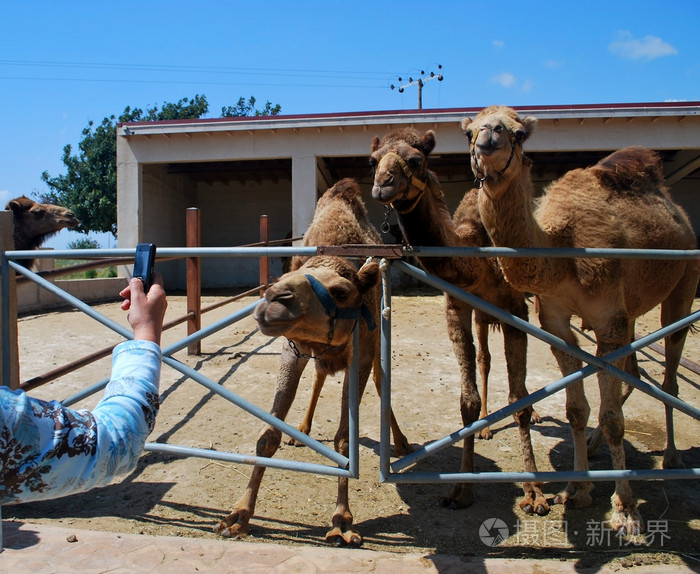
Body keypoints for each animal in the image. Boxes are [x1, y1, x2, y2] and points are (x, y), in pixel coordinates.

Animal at [213, 178, 410, 548]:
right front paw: (238, 516)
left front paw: (342, 522)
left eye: (341, 292)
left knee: (381, 381)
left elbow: (345, 441)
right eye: (284, 280)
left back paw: (402, 443)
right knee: (319, 373)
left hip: (377, 343)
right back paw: (301, 430)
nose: (273, 301)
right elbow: (268, 436)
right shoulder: (292, 349)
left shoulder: (361, 354)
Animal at [370, 129, 548, 516]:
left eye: (416, 159)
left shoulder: (515, 310)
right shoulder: (458, 307)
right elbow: (467, 401)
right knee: (485, 358)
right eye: (373, 160)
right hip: (483, 315)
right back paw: (486, 428)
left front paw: (535, 493)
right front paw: (461, 491)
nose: (382, 185)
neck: (475, 257)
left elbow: (519, 399)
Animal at [462, 106, 696, 536]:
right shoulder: (554, 319)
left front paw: (626, 511)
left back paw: (671, 457)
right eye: (470, 131)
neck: (561, 250)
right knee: (633, 371)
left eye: (519, 133)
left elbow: (613, 416)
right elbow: (577, 410)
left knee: (669, 372)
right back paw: (593, 445)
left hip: (684, 282)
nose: (487, 141)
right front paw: (576, 490)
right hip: (632, 312)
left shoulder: (608, 319)